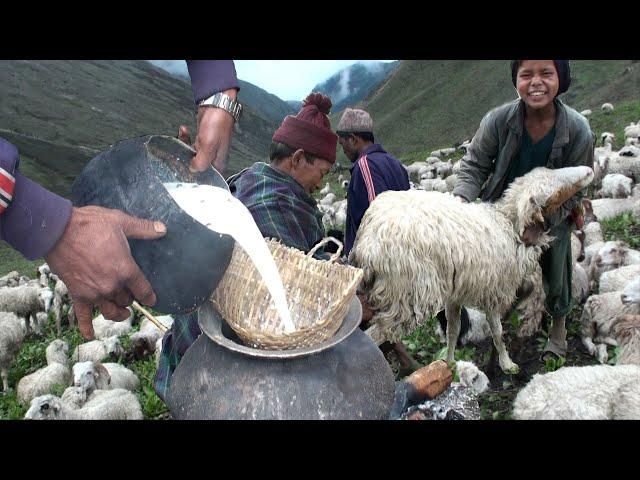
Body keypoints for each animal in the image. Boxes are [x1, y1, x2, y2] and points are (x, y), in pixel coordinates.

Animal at [350, 167, 596, 374]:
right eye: (558, 191)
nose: (589, 171)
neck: (507, 223)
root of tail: (368, 241)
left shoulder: (454, 294)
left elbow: (453, 329)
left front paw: (449, 362)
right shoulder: (494, 291)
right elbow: (497, 330)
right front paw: (507, 363)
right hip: (409, 296)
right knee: (375, 335)